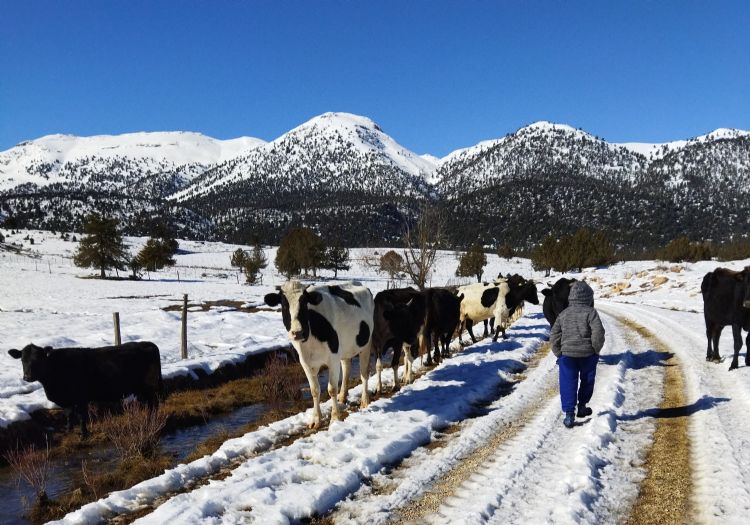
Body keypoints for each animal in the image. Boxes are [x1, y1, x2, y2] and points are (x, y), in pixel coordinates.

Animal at [7, 340, 162, 434]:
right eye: (22, 360)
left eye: (38, 359)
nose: (27, 377)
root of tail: (148, 343)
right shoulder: (67, 400)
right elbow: (69, 414)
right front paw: (68, 430)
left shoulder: (81, 398)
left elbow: (81, 416)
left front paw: (84, 434)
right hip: (142, 390)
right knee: (149, 404)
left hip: (150, 387)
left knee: (154, 404)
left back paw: (152, 422)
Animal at [264, 280, 376, 428]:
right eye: (283, 304)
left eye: (304, 303)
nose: (297, 333)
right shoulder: (305, 362)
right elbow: (314, 390)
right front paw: (316, 419)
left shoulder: (333, 359)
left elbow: (331, 389)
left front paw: (335, 418)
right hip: (345, 348)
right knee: (346, 368)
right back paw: (342, 397)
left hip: (366, 344)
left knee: (364, 374)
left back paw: (364, 400)